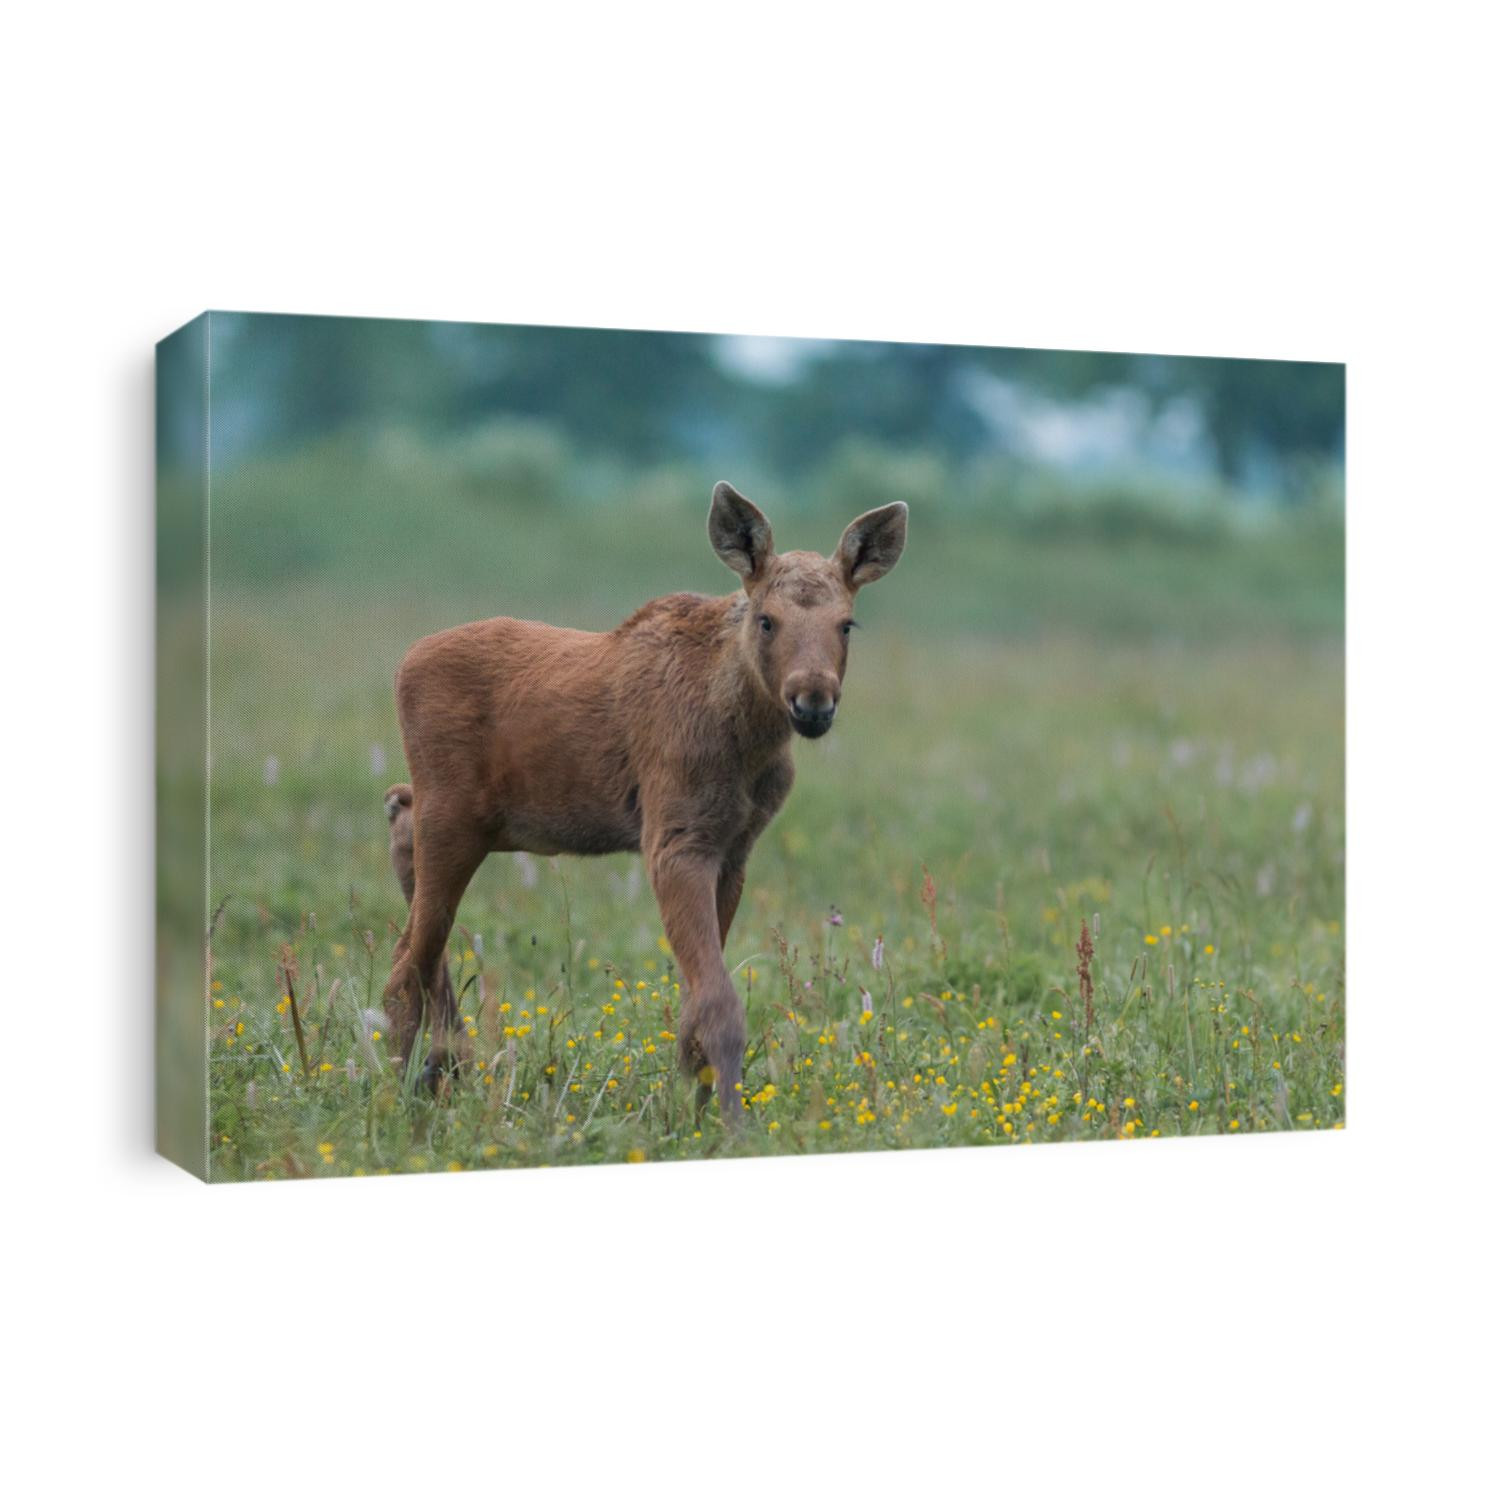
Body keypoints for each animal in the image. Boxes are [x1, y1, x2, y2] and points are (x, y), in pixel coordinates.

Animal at [380, 481, 908, 1124]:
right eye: (767, 620)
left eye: (848, 623)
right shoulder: (675, 840)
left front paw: (697, 1110)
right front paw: (731, 1125)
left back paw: (443, 1071)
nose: (812, 701)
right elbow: (719, 1003)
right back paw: (406, 1091)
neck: (749, 738)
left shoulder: (734, 850)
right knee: (405, 962)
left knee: (403, 852)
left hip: (477, 819)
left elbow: (693, 1008)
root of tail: (402, 666)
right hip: (454, 815)